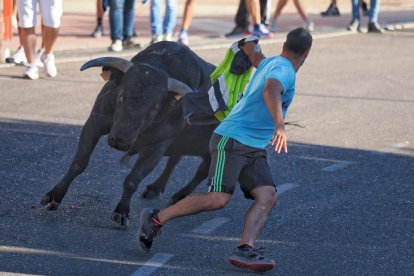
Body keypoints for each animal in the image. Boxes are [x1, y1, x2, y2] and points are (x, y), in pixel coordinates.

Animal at [40, 40, 218, 226]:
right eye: (122, 96)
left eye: (154, 108)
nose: (121, 141)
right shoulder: (94, 124)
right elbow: (78, 163)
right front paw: (54, 196)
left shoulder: (155, 149)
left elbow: (132, 180)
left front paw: (122, 211)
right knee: (179, 161)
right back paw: (156, 189)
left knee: (201, 171)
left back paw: (179, 195)